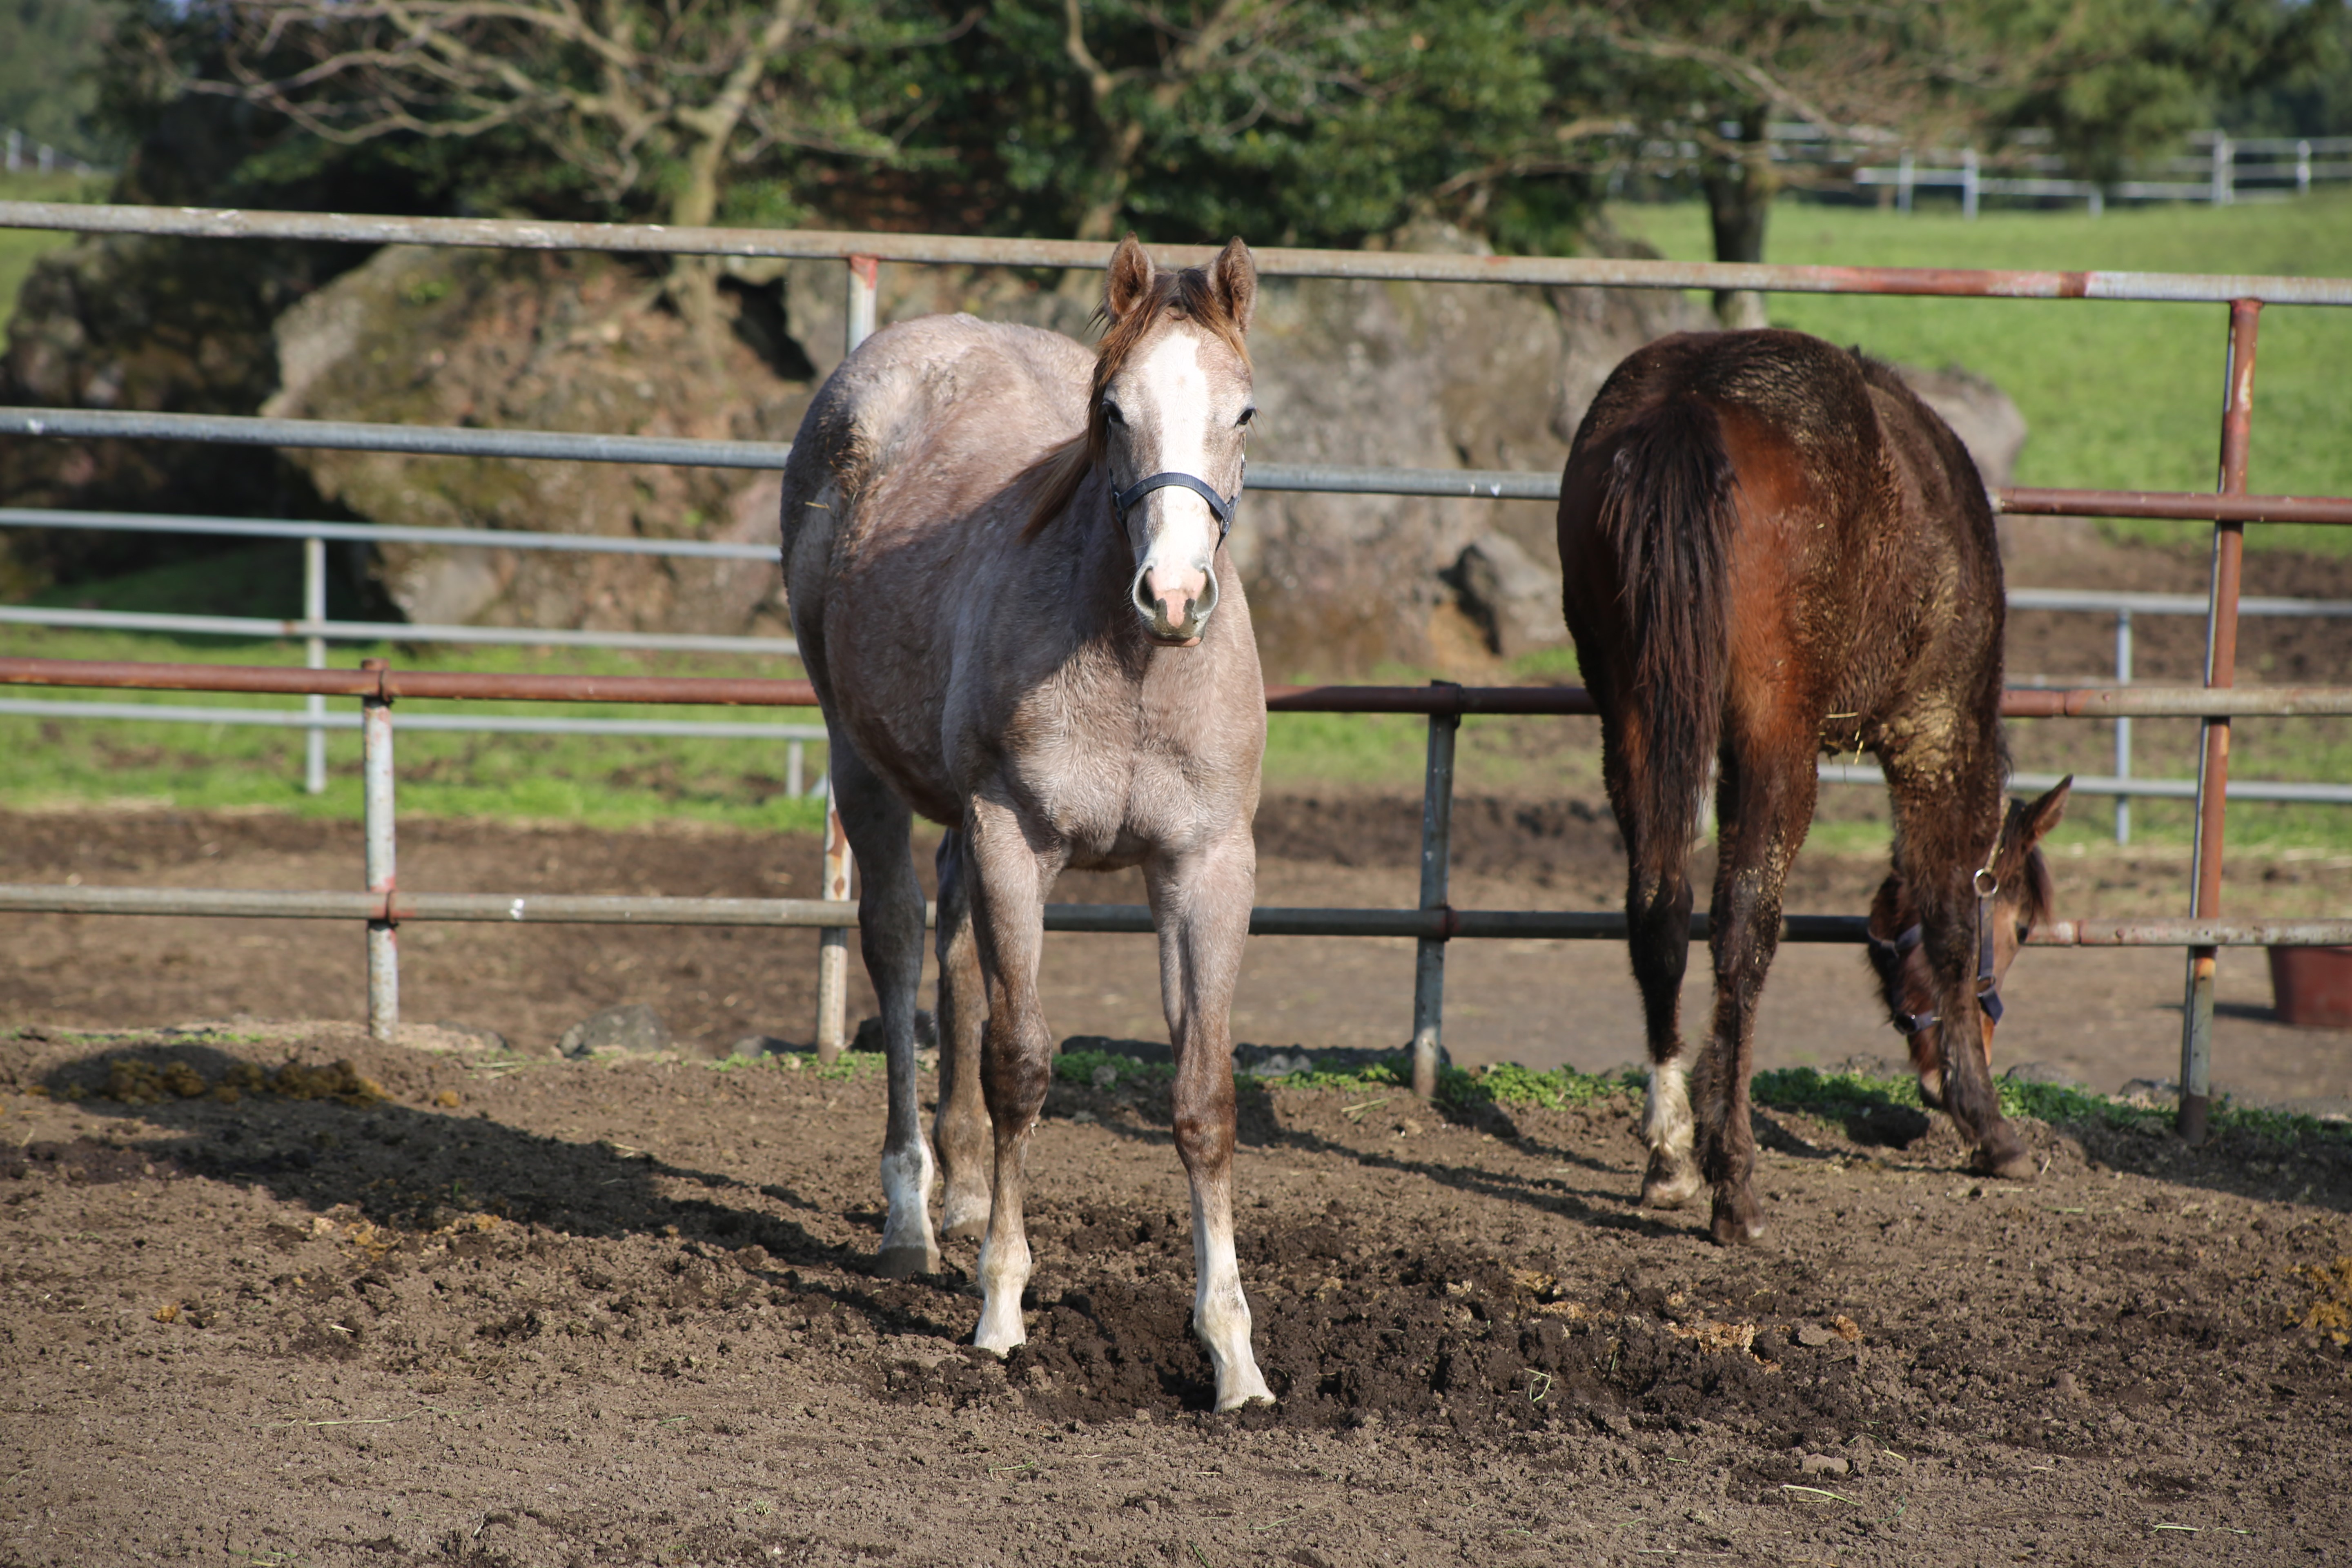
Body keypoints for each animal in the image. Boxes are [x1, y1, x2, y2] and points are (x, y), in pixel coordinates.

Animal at [781, 240, 1279, 1420]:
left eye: (1242, 411)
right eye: (1111, 410)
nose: (1174, 594)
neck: (1135, 672)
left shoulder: (1205, 867)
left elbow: (1203, 1097)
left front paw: (1233, 1354)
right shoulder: (1017, 838)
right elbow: (1021, 1064)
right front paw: (1001, 1307)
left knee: (956, 953)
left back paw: (960, 1193)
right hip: (860, 764)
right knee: (899, 944)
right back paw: (914, 1219)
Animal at [1561, 334, 2079, 1250]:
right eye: (2019, 926)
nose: (1952, 1065)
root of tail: (1687, 401)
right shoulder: (1933, 734)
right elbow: (1950, 921)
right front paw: (1989, 1125)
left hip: (1631, 715)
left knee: (1657, 909)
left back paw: (1673, 1157)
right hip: (1778, 739)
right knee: (1742, 927)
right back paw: (1733, 1183)